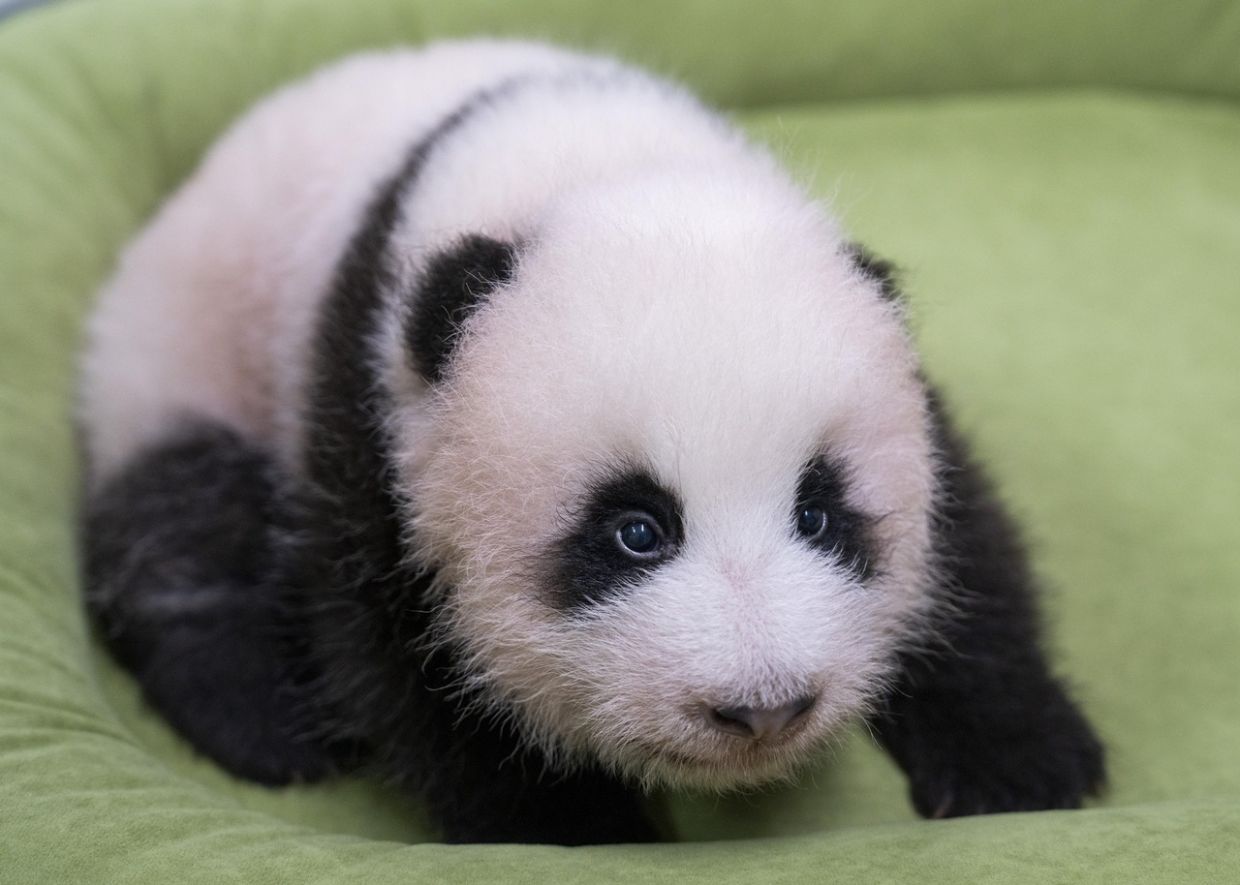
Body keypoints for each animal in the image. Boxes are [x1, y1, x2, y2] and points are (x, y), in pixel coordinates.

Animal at [77, 40, 1105, 845]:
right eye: (635, 530)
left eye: (820, 513)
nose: (763, 706)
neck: (593, 167)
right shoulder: (373, 405)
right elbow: (406, 654)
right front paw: (574, 828)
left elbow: (968, 548)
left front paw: (1026, 763)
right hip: (185, 340)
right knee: (184, 522)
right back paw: (260, 718)